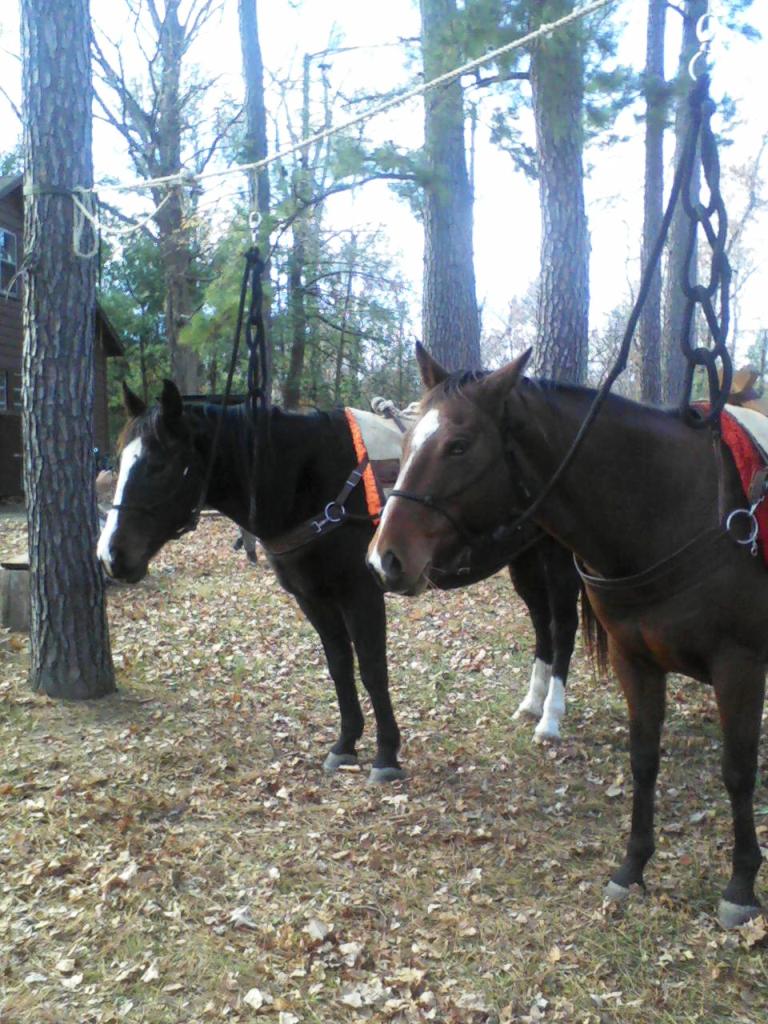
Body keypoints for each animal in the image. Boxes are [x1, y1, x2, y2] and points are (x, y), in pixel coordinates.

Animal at [94, 385, 577, 782]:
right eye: (119, 463)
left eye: (158, 465)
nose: (110, 555)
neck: (315, 483)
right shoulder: (314, 599)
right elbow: (340, 667)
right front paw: (345, 744)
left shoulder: (361, 594)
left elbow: (372, 670)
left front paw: (386, 755)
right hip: (524, 561)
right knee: (542, 626)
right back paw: (531, 704)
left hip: (559, 559)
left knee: (564, 629)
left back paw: (550, 720)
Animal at [368, 344, 768, 929]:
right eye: (404, 439)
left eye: (459, 445)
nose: (385, 559)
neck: (677, 509)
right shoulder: (634, 660)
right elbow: (643, 759)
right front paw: (633, 867)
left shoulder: (739, 665)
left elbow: (737, 771)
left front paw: (741, 884)